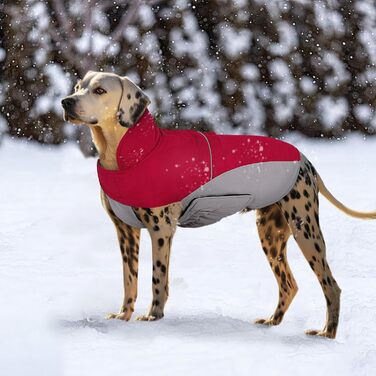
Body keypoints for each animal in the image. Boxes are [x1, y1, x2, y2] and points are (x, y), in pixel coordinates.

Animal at [61, 70, 376, 338]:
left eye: (100, 90)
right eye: (77, 87)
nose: (66, 102)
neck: (133, 152)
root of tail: (304, 159)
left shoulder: (161, 231)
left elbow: (157, 279)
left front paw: (153, 316)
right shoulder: (126, 233)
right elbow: (130, 280)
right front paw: (123, 316)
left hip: (305, 231)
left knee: (331, 286)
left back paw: (327, 333)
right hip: (271, 235)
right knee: (289, 285)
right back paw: (272, 321)